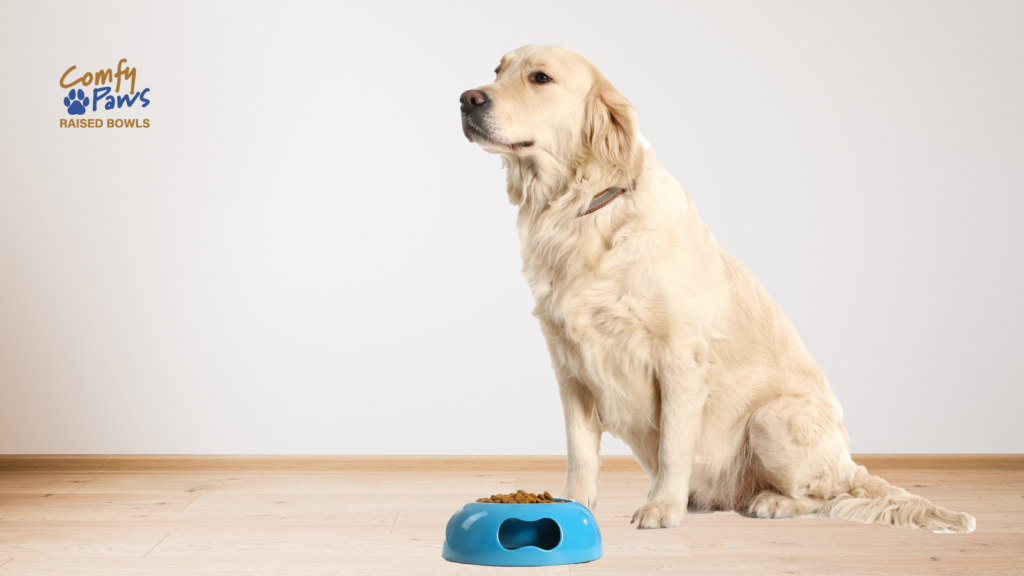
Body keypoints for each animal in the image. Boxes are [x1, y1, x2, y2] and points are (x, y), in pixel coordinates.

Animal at [462, 42, 974, 532]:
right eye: (497, 71)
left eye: (540, 77)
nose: (467, 99)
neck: (580, 212)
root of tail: (850, 462)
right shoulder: (570, 365)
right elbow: (581, 451)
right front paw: (572, 503)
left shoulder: (679, 360)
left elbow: (673, 445)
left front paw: (662, 507)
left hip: (772, 418)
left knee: (822, 495)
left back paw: (770, 502)